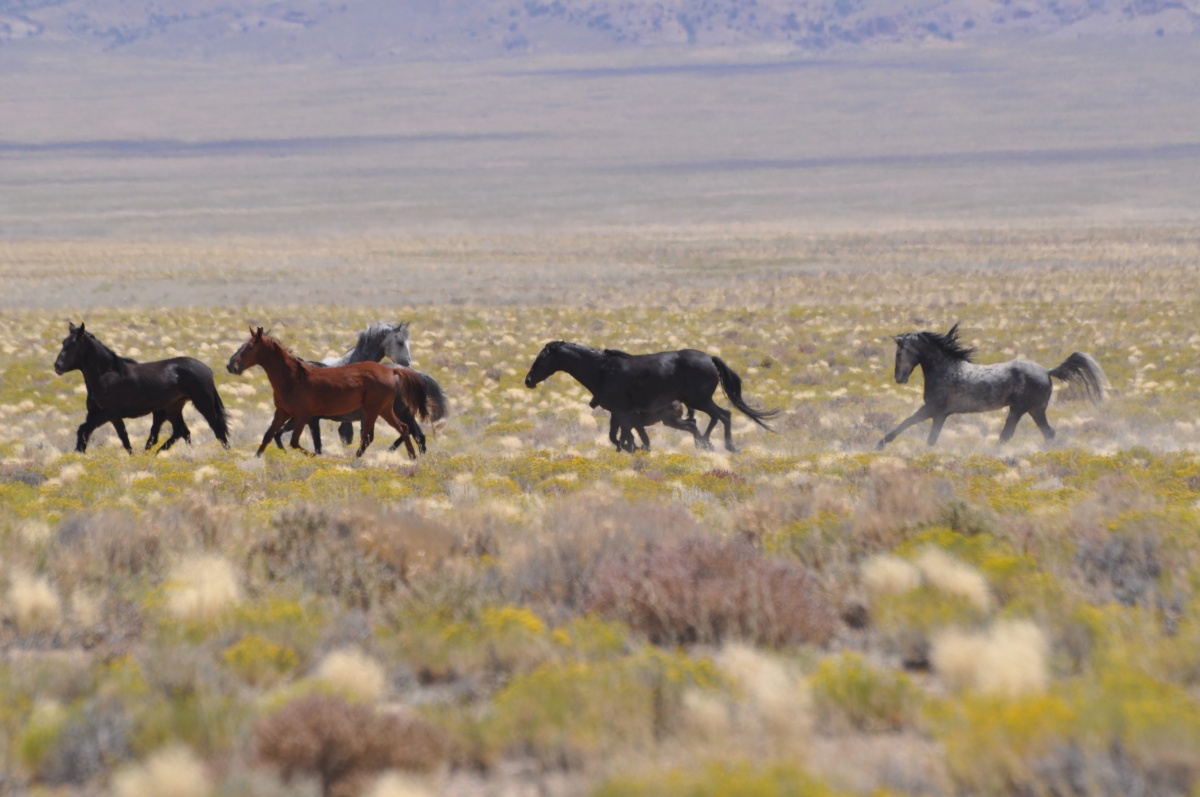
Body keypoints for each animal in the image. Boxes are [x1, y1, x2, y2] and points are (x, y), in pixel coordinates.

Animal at [53, 322, 230, 454]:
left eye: (74, 343)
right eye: (63, 342)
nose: (58, 366)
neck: (106, 374)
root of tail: (206, 368)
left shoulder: (108, 413)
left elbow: (84, 429)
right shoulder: (107, 415)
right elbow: (123, 439)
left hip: (203, 403)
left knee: (217, 429)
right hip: (173, 408)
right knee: (182, 431)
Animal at [226, 327, 426, 458]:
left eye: (250, 347)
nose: (231, 366)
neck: (293, 378)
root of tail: (392, 371)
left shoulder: (303, 416)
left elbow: (297, 443)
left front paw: (319, 459)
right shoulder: (283, 412)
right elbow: (269, 435)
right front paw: (257, 459)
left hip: (373, 410)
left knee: (369, 437)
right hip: (384, 410)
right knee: (403, 429)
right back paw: (412, 457)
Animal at [525, 341, 779, 452]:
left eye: (542, 357)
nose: (528, 380)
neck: (601, 369)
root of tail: (710, 358)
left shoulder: (621, 411)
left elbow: (626, 436)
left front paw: (636, 449)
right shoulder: (617, 413)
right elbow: (619, 436)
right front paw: (634, 448)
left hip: (699, 400)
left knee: (724, 415)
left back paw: (725, 446)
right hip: (696, 401)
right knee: (716, 417)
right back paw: (705, 443)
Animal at [875, 323, 1107, 449]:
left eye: (899, 353)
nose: (899, 378)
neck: (945, 369)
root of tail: (1047, 371)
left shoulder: (935, 410)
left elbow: (914, 426)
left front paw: (880, 444)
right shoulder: (938, 412)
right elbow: (917, 429)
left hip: (1019, 409)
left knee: (1007, 435)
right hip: (1035, 410)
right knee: (1048, 432)